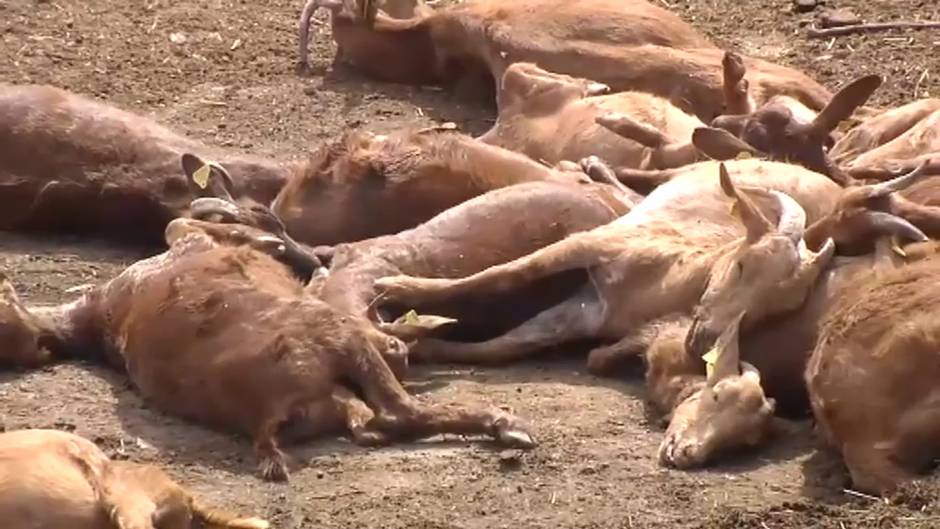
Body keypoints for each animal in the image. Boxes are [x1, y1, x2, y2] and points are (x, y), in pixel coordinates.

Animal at [0, 173, 536, 482]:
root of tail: (264, 414)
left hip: (337, 398)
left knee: (375, 424)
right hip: (342, 345)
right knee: (399, 410)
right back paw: (507, 425)